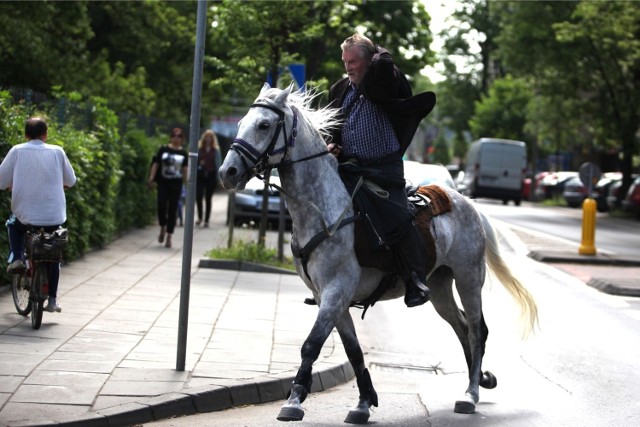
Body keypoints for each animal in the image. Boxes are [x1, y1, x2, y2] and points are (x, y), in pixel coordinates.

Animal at [218, 84, 536, 424]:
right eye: (240, 123)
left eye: (264, 125)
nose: (228, 172)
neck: (322, 209)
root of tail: (469, 203)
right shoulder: (329, 297)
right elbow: (354, 351)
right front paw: (364, 403)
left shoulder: (336, 291)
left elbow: (311, 345)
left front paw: (294, 400)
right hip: (439, 288)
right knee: (462, 327)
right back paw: (475, 383)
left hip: (469, 280)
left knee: (477, 331)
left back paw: (471, 394)